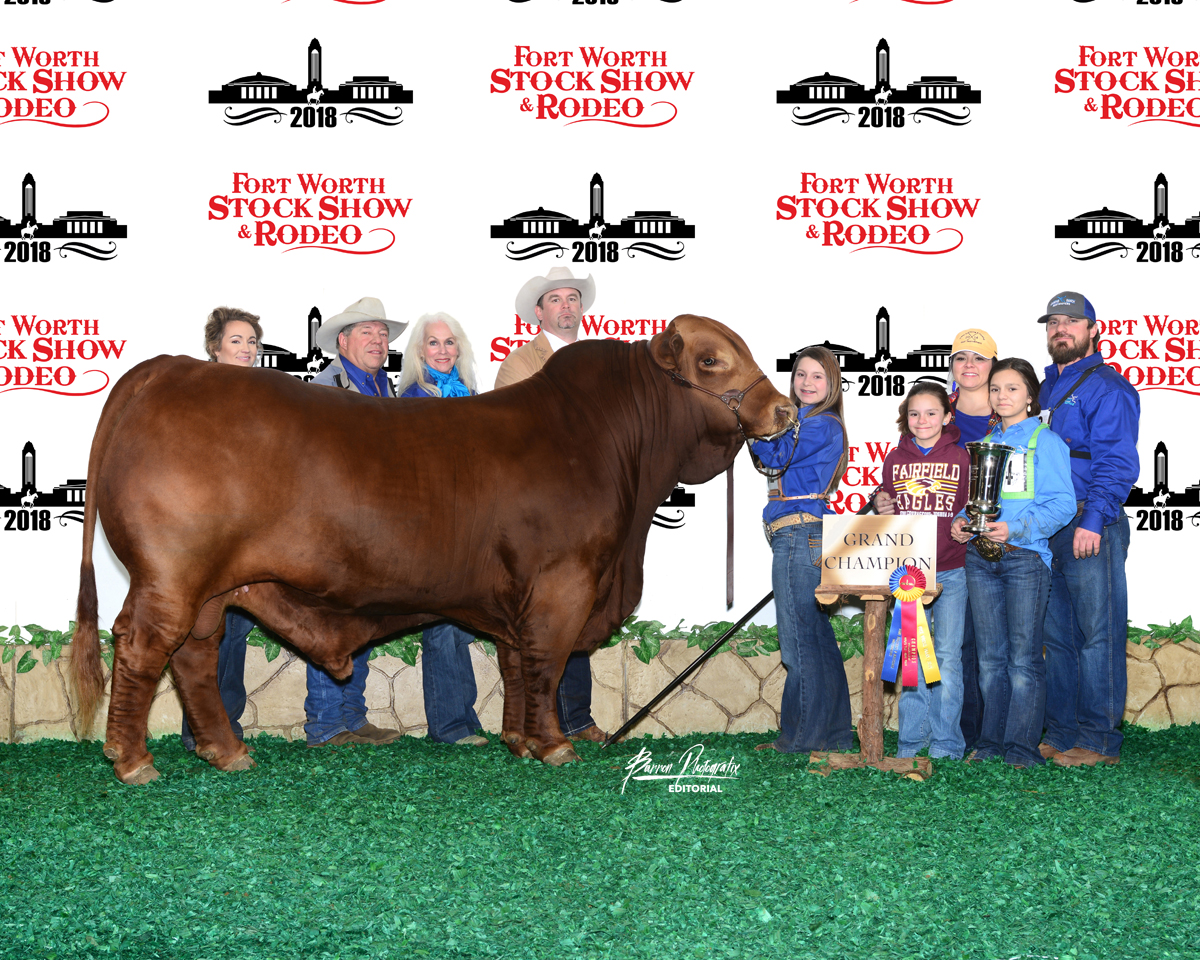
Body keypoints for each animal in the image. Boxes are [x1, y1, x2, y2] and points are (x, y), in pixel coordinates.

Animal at [71, 315, 796, 784]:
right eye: (711, 360)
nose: (785, 411)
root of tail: (168, 370)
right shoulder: (562, 583)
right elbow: (548, 661)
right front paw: (555, 747)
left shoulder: (518, 595)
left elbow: (517, 662)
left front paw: (516, 740)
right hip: (171, 575)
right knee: (142, 646)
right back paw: (133, 762)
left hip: (210, 588)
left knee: (193, 654)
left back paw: (225, 752)